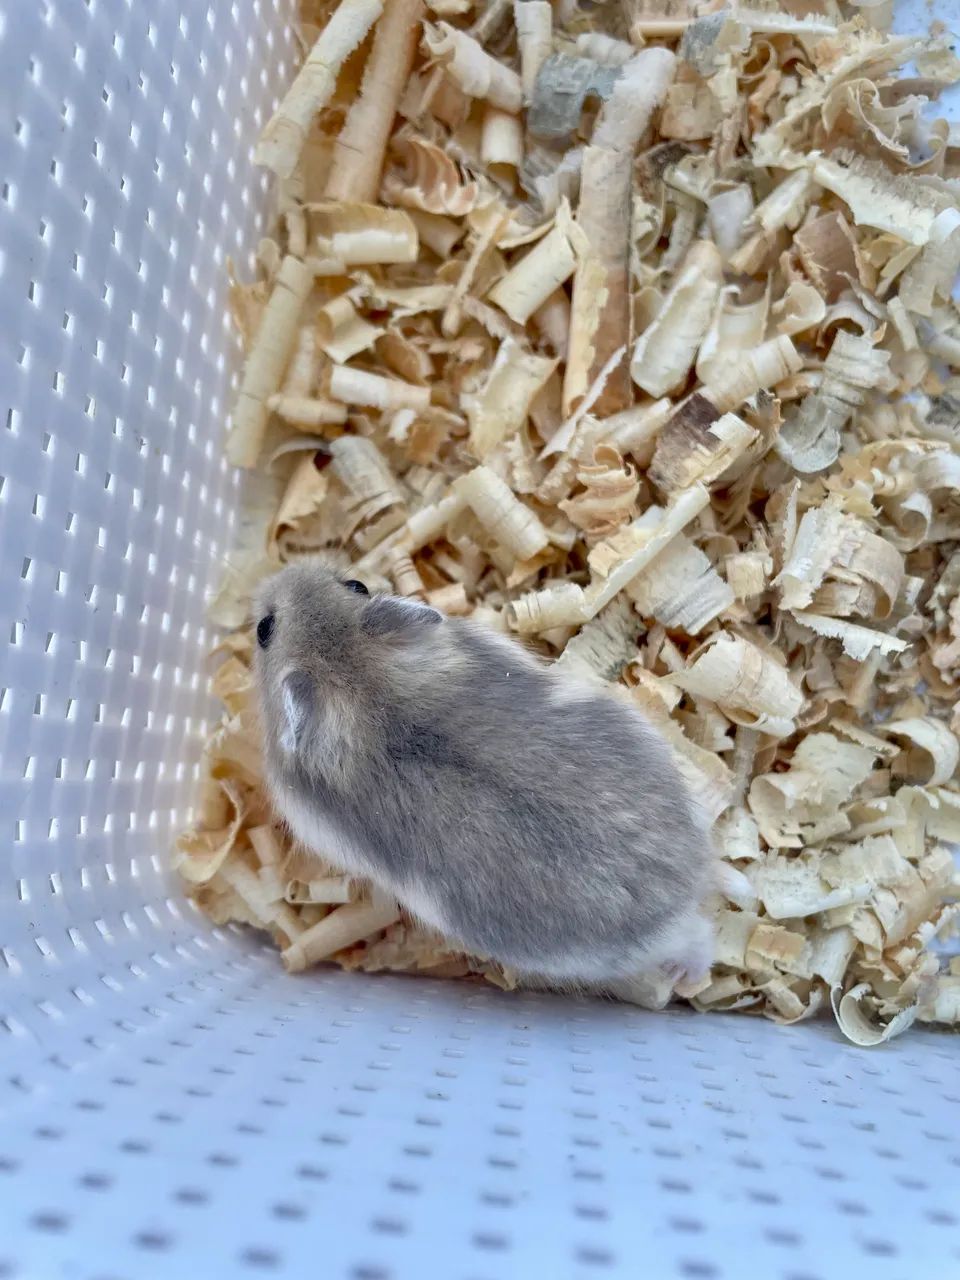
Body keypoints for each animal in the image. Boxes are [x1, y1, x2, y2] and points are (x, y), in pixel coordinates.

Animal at [253, 559, 715, 987]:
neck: (360, 680)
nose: (281, 572)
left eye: (264, 629)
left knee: (700, 940)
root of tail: (683, 890)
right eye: (357, 586)